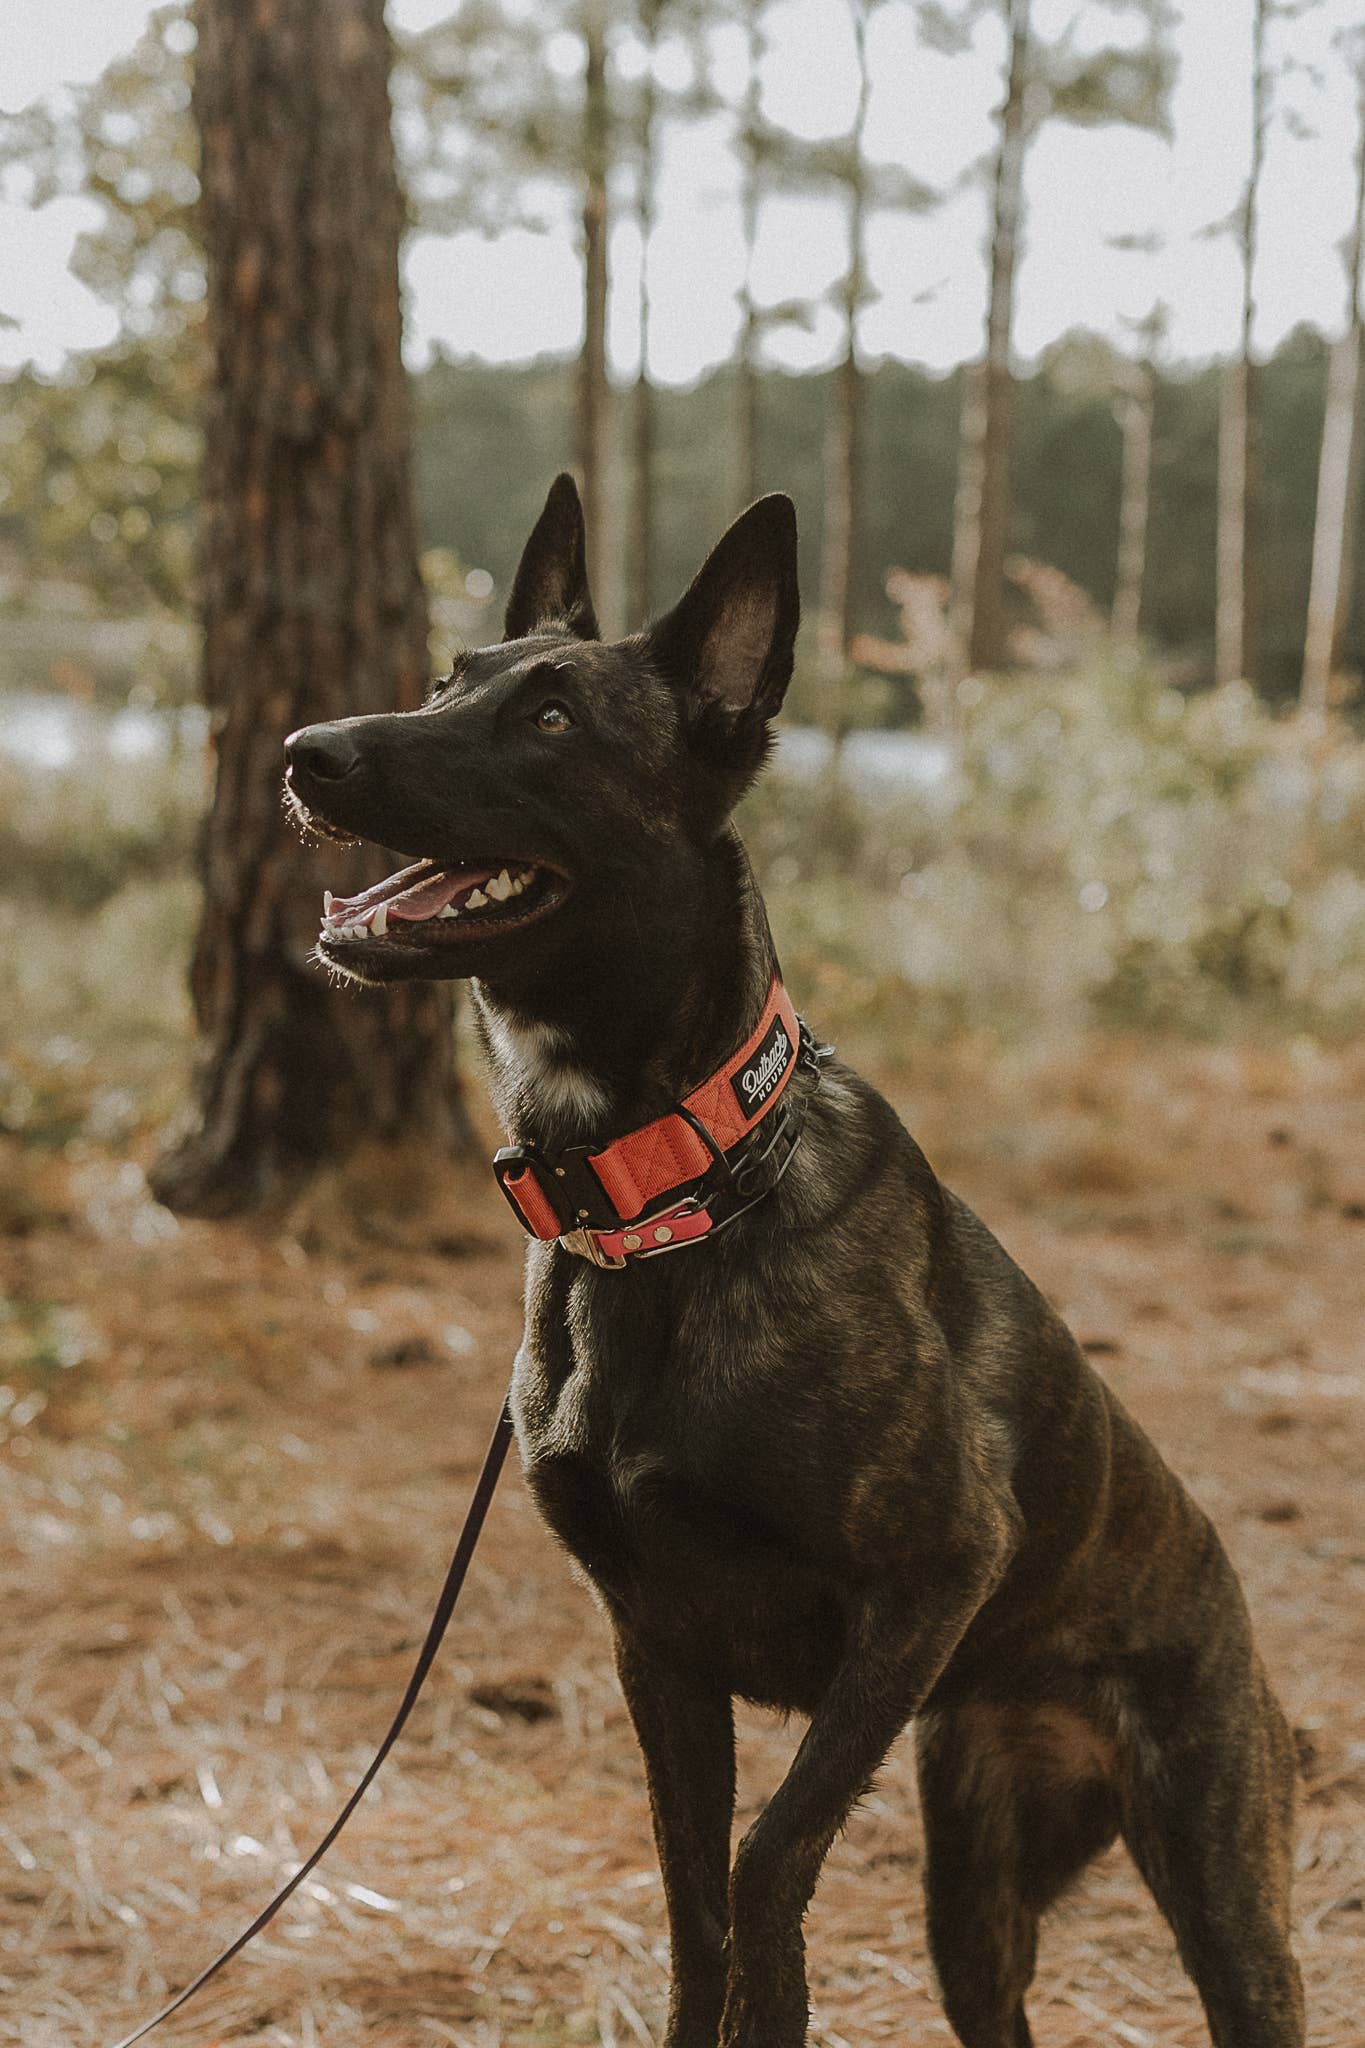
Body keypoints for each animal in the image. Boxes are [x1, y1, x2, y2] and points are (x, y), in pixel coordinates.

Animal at [286, 475, 1301, 2048]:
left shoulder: (932, 1580)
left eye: (553, 716)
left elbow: (767, 1869)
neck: (670, 1193)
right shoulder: (656, 1645)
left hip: (1219, 1886)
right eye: (449, 680)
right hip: (974, 1898)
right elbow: (695, 1905)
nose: (302, 753)